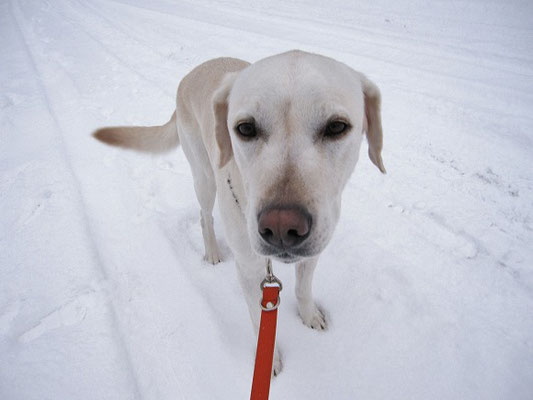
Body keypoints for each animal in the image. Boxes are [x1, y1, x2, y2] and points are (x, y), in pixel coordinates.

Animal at [93, 50, 384, 376]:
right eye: (245, 128)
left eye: (336, 127)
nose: (281, 228)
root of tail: (193, 72)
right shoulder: (249, 269)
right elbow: (259, 319)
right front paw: (268, 360)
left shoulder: (314, 252)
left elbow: (303, 288)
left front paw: (309, 315)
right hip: (204, 176)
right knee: (204, 216)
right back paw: (212, 251)